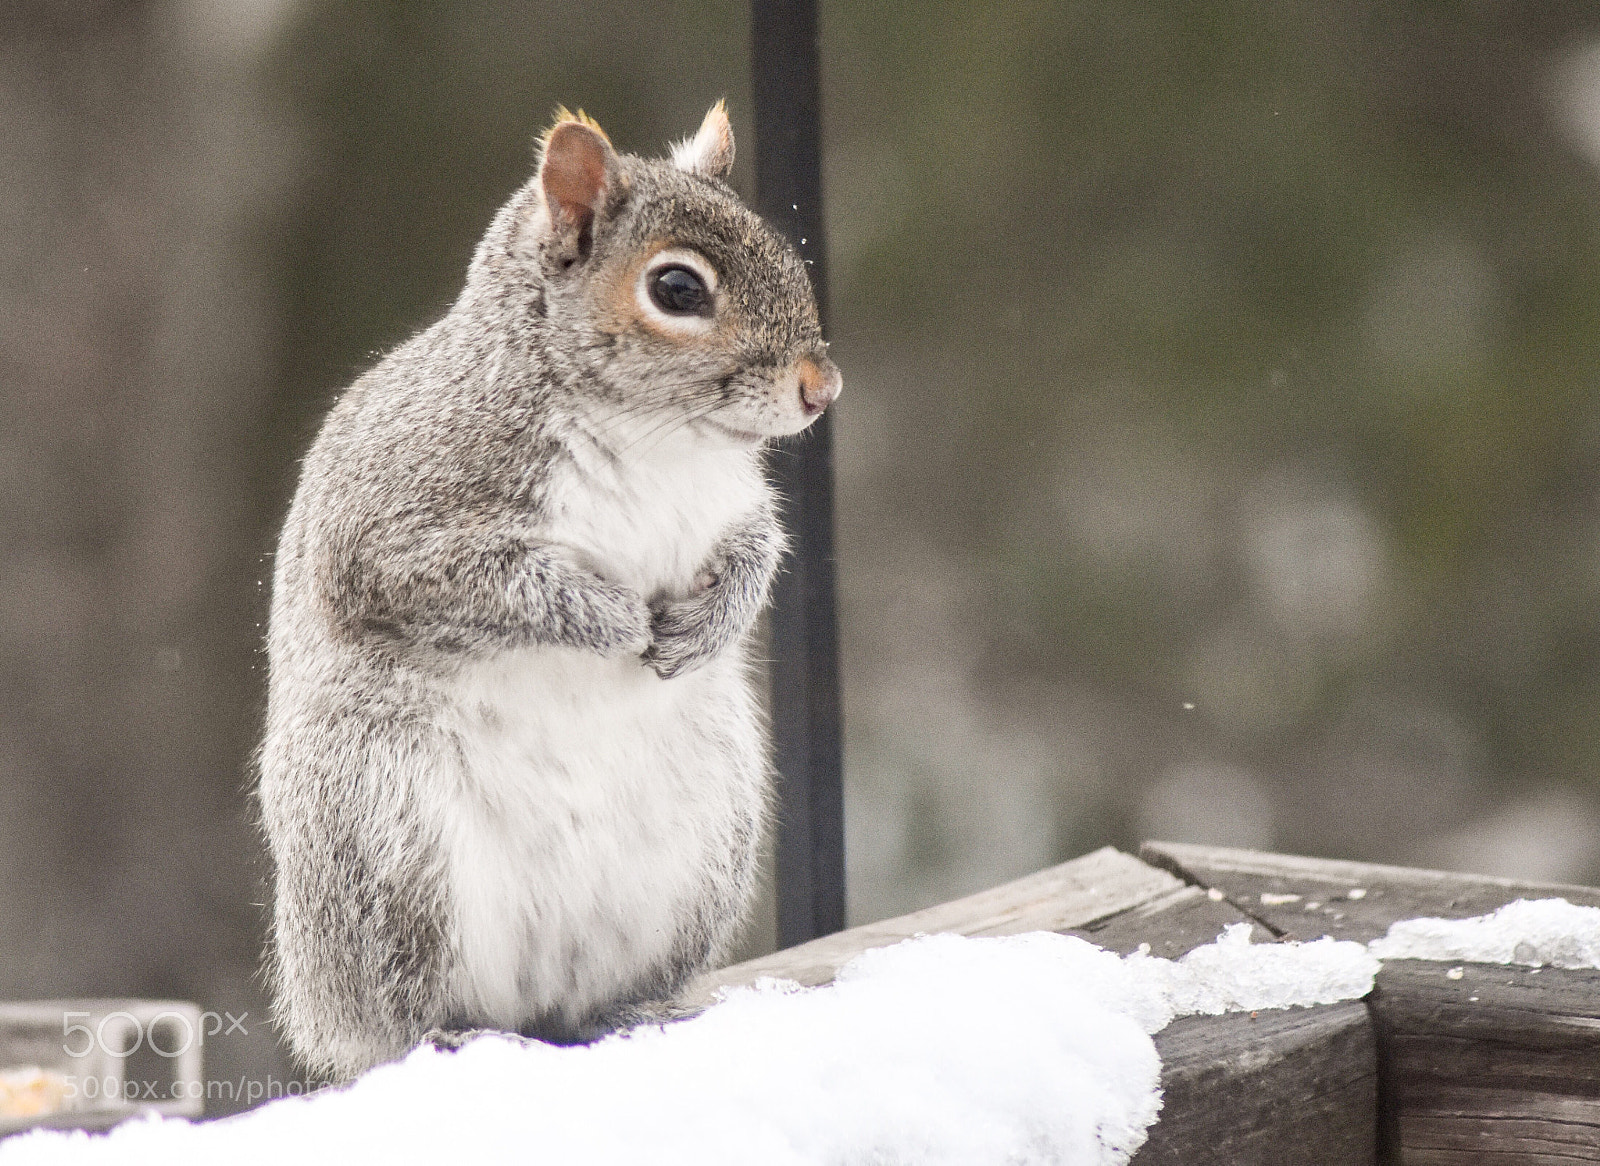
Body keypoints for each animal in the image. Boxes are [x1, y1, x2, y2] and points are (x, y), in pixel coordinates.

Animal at [257, 102, 841, 1081]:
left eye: (785, 252)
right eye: (677, 290)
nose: (820, 387)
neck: (651, 436)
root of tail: (532, 1004)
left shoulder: (736, 504)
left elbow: (758, 549)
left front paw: (704, 625)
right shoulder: (392, 527)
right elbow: (472, 582)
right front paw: (610, 620)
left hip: (704, 845)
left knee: (591, 1000)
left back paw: (629, 1011)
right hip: (387, 837)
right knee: (399, 1016)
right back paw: (449, 1032)